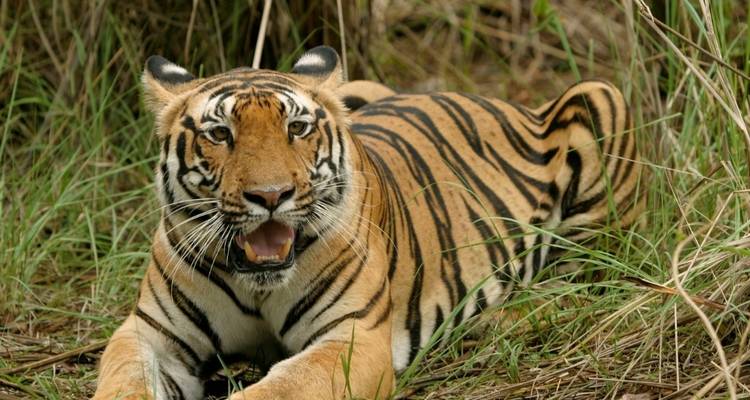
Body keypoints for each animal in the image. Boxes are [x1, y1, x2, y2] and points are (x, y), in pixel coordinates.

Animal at [93, 46, 642, 399]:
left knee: (590, 277)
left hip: (601, 99)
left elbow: (278, 391)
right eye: (220, 134)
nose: (270, 196)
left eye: (297, 128)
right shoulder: (149, 334)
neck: (258, 284)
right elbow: (123, 383)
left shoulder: (352, 339)